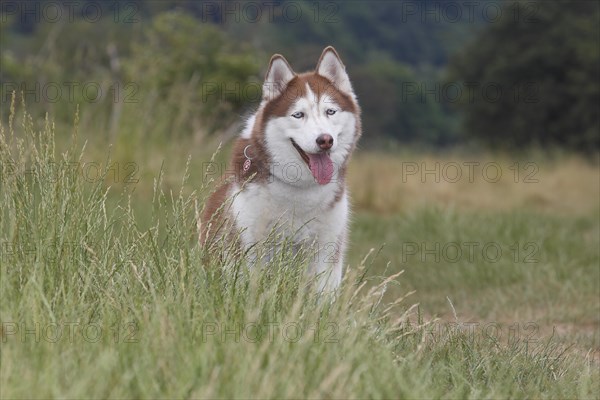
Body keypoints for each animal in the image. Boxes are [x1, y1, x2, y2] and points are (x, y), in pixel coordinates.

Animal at [202, 47, 360, 292]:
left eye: (330, 112)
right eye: (298, 114)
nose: (325, 140)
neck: (301, 189)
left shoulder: (326, 250)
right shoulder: (249, 246)